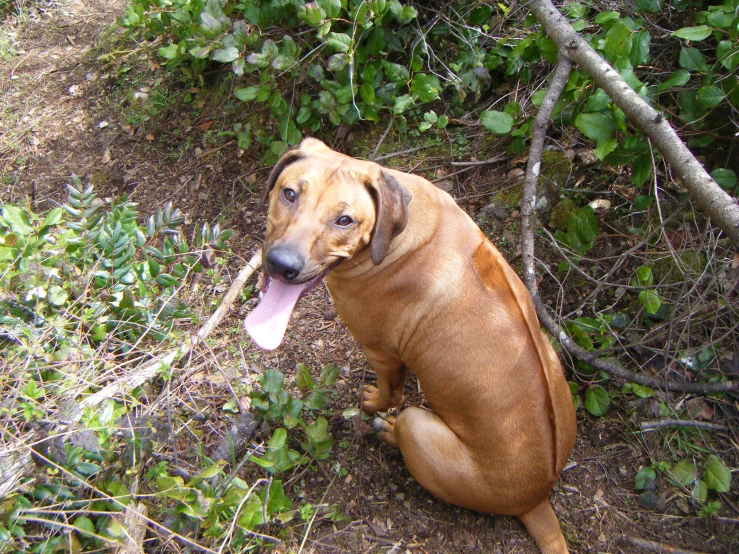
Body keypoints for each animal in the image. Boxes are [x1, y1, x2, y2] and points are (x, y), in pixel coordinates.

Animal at [247, 138, 580, 552]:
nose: (281, 264)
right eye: (289, 193)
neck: (394, 234)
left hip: (419, 426)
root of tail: (537, 497)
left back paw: (389, 430)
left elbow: (390, 390)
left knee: (405, 423)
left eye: (345, 220)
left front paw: (374, 402)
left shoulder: (381, 352)